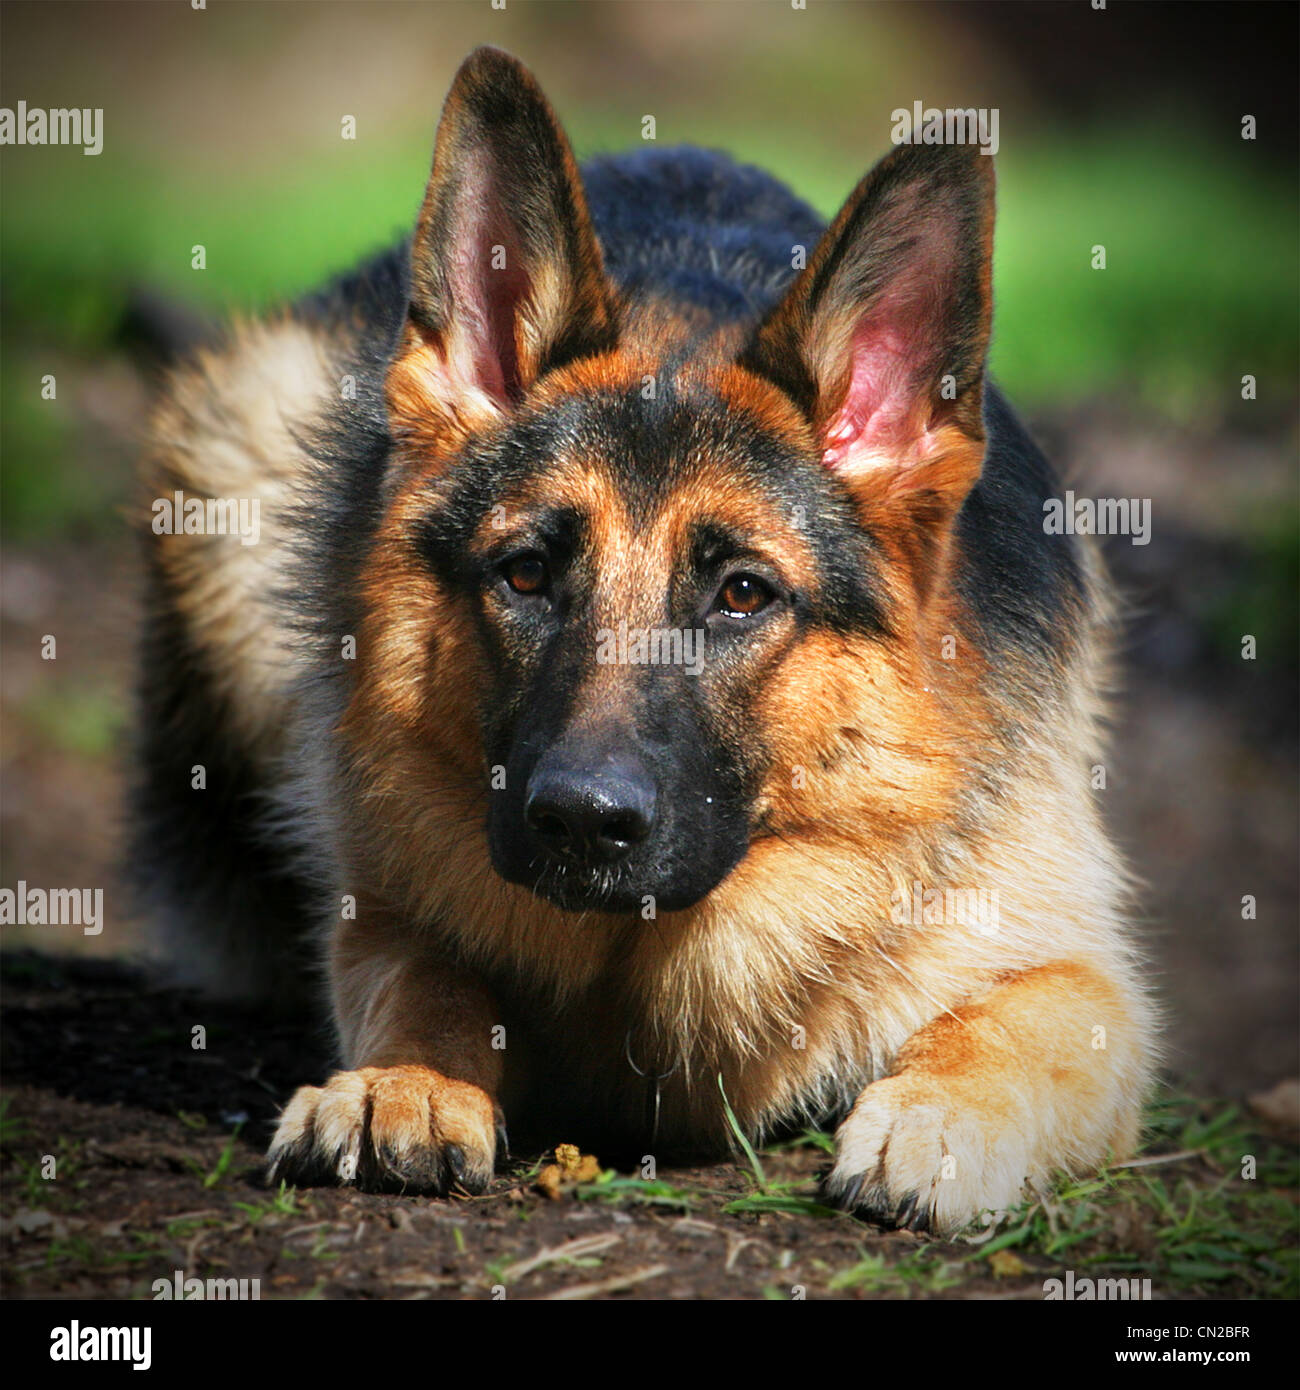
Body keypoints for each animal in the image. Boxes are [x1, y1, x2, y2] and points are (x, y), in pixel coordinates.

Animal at [132, 48, 1151, 1234]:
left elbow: (1014, 1017)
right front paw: (406, 1081)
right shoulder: (386, 905)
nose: (579, 820)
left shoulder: (1083, 975)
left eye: (742, 595)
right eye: (526, 574)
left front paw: (946, 1117)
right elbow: (421, 975)